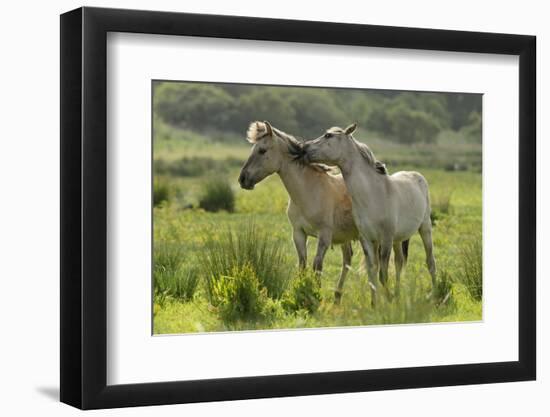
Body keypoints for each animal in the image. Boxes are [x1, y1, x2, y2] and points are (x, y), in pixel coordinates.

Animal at [302, 122, 436, 304]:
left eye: (328, 135)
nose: (304, 148)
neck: (372, 194)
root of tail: (417, 176)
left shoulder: (385, 239)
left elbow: (382, 275)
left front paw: (387, 301)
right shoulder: (366, 239)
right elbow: (372, 273)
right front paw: (375, 304)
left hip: (425, 228)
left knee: (430, 262)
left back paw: (436, 294)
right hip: (398, 239)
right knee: (400, 262)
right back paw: (398, 295)